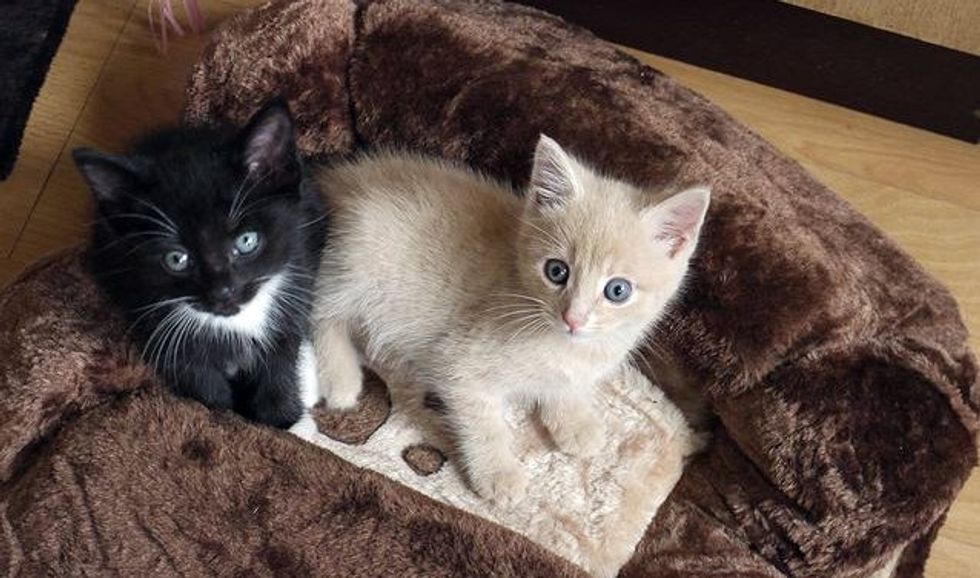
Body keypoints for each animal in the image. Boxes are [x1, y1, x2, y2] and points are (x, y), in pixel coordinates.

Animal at [75, 102, 326, 431]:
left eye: (247, 240)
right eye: (177, 259)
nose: (223, 292)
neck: (238, 322)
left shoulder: (292, 294)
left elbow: (280, 362)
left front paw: (282, 420)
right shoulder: (157, 321)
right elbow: (202, 385)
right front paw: (224, 416)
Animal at [311, 135, 710, 503]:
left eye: (617, 291)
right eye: (556, 271)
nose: (572, 318)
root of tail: (336, 179)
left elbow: (564, 386)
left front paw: (575, 421)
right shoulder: (460, 363)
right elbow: (485, 422)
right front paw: (498, 472)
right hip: (358, 259)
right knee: (319, 309)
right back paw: (341, 379)